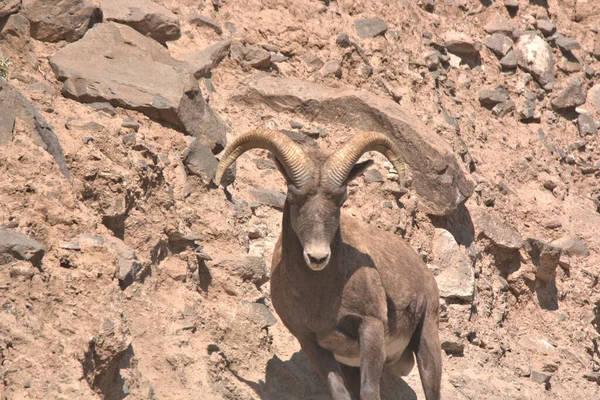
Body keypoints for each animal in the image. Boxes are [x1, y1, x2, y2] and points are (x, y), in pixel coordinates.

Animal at [216, 130, 440, 398]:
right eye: (293, 197)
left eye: (341, 200)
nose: (317, 257)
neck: (320, 296)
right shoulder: (310, 342)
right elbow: (340, 393)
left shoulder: (371, 326)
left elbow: (369, 391)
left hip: (427, 338)